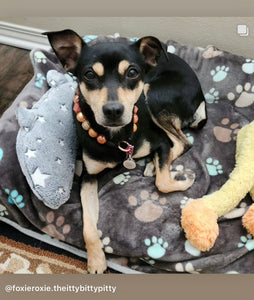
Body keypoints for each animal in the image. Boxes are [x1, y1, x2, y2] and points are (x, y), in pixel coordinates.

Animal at [43, 29, 206, 274]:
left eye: (132, 72)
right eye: (89, 75)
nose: (113, 110)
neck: (115, 137)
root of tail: (201, 96)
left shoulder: (160, 143)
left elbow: (163, 183)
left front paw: (183, 179)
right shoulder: (89, 177)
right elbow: (88, 227)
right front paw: (96, 260)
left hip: (153, 95)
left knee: (183, 143)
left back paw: (153, 166)